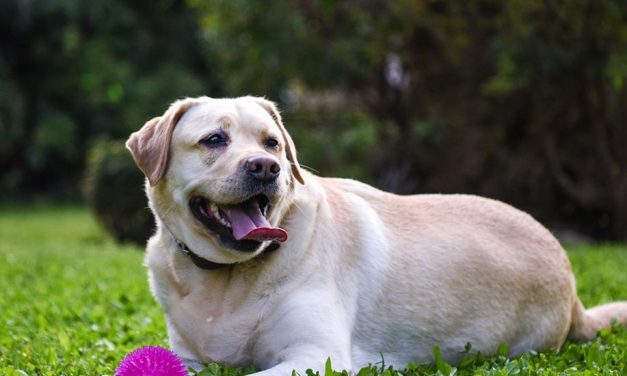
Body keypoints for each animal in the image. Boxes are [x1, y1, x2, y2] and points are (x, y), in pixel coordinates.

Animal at [127, 97, 627, 376]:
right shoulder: (190, 358)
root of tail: (572, 289)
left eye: (272, 143)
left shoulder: (316, 356)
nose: (266, 167)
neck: (228, 281)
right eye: (214, 140)